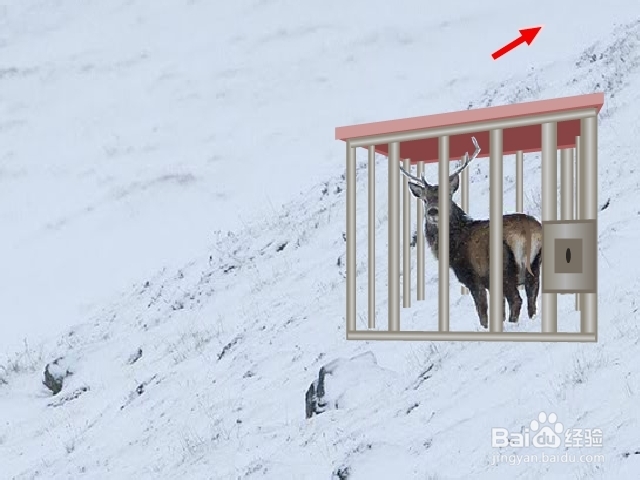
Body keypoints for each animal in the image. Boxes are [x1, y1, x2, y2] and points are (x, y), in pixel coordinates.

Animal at [399, 137, 543, 329]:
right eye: (425, 199)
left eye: (447, 196)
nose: (433, 211)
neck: (454, 246)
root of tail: (529, 234)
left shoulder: (472, 277)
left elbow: (482, 313)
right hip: (534, 265)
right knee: (532, 300)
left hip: (504, 269)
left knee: (516, 300)